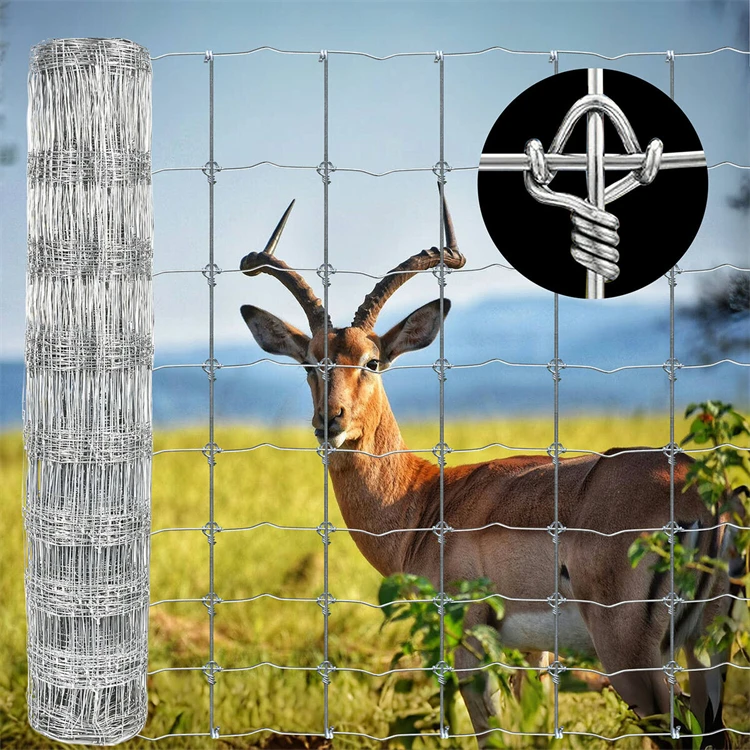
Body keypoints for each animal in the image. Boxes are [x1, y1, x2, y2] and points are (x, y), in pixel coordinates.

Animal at [239, 195, 736, 749]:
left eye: (371, 361)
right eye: (310, 362)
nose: (331, 420)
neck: (424, 501)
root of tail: (702, 498)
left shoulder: (467, 641)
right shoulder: (535, 653)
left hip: (633, 660)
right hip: (706, 651)